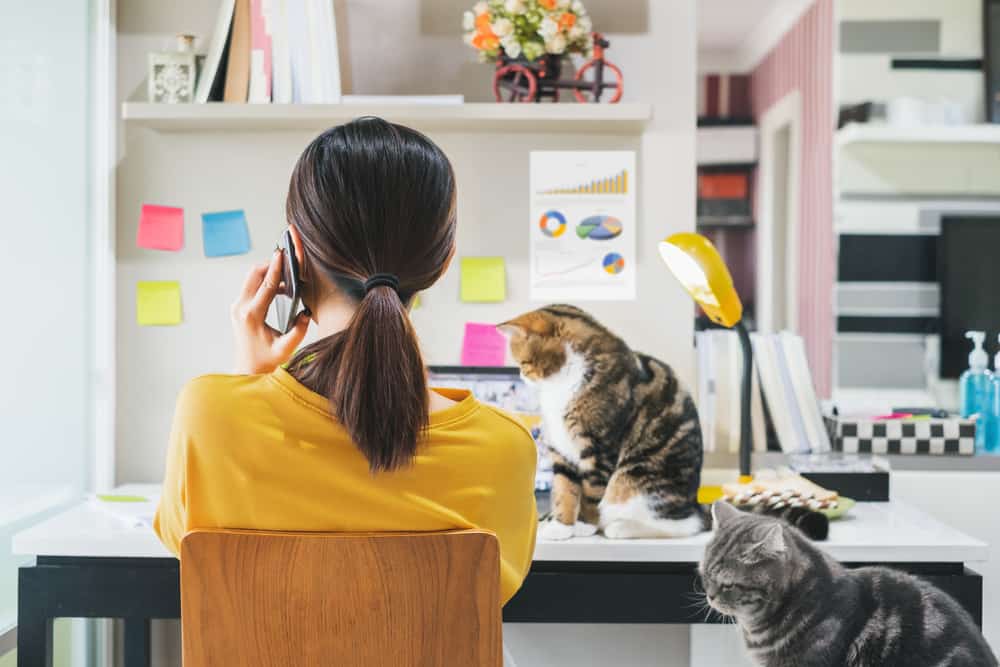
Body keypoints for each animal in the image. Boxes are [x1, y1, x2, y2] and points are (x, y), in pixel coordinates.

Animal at [498, 306, 704, 540]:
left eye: (524, 363)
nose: (521, 375)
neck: (561, 385)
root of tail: (694, 503)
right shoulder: (561, 449)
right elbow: (564, 489)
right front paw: (561, 526)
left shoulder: (598, 448)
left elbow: (591, 491)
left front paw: (584, 525)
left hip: (637, 478)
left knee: (683, 525)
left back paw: (621, 527)